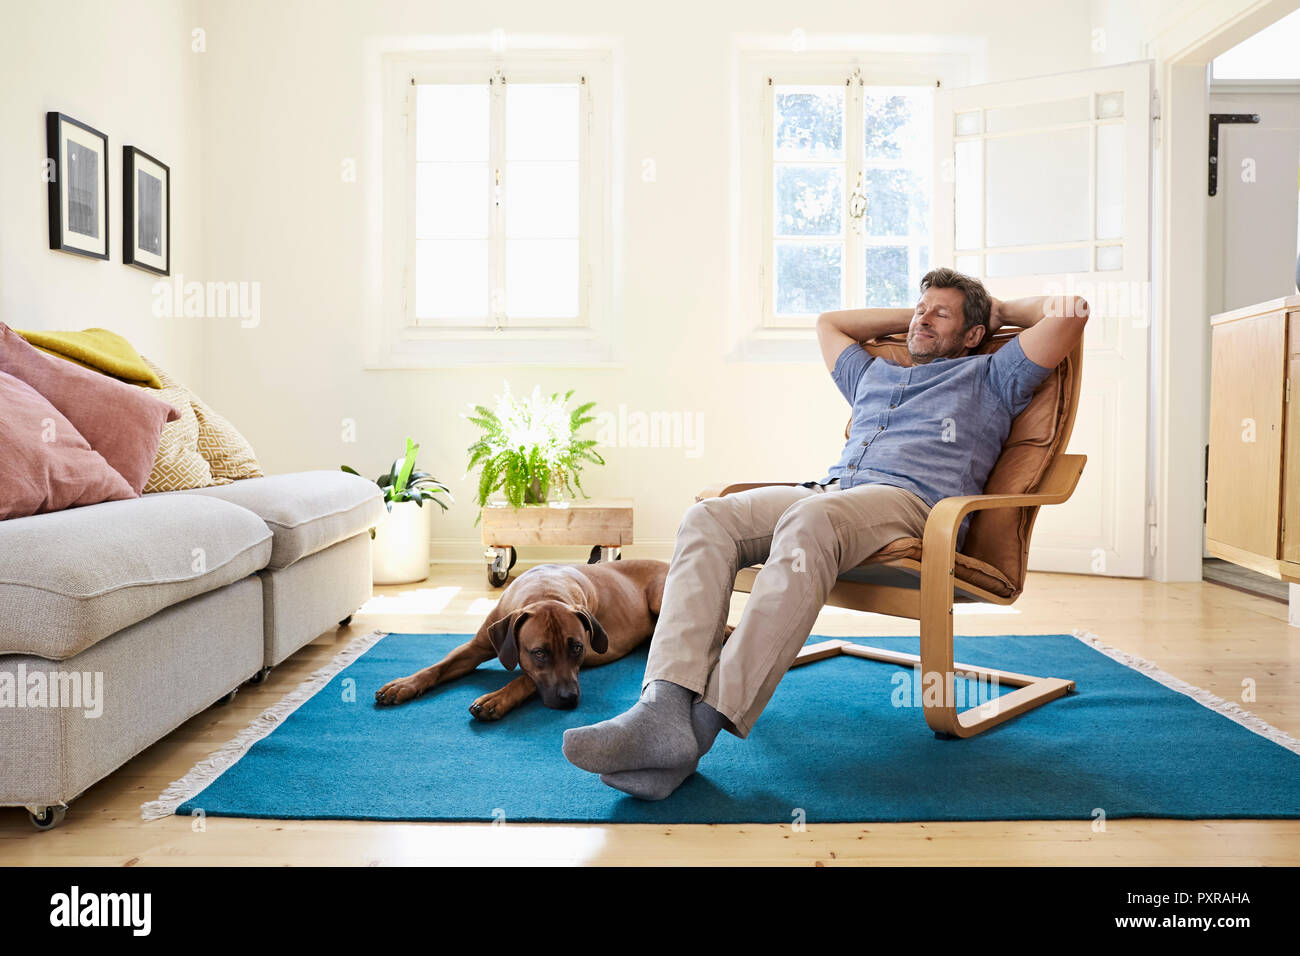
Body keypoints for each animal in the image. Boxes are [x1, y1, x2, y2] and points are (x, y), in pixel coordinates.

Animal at [374, 556, 686, 723]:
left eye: (577, 648)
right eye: (539, 653)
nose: (569, 699)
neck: (544, 591)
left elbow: (524, 679)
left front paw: (496, 699)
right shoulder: (477, 645)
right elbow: (438, 666)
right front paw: (403, 685)